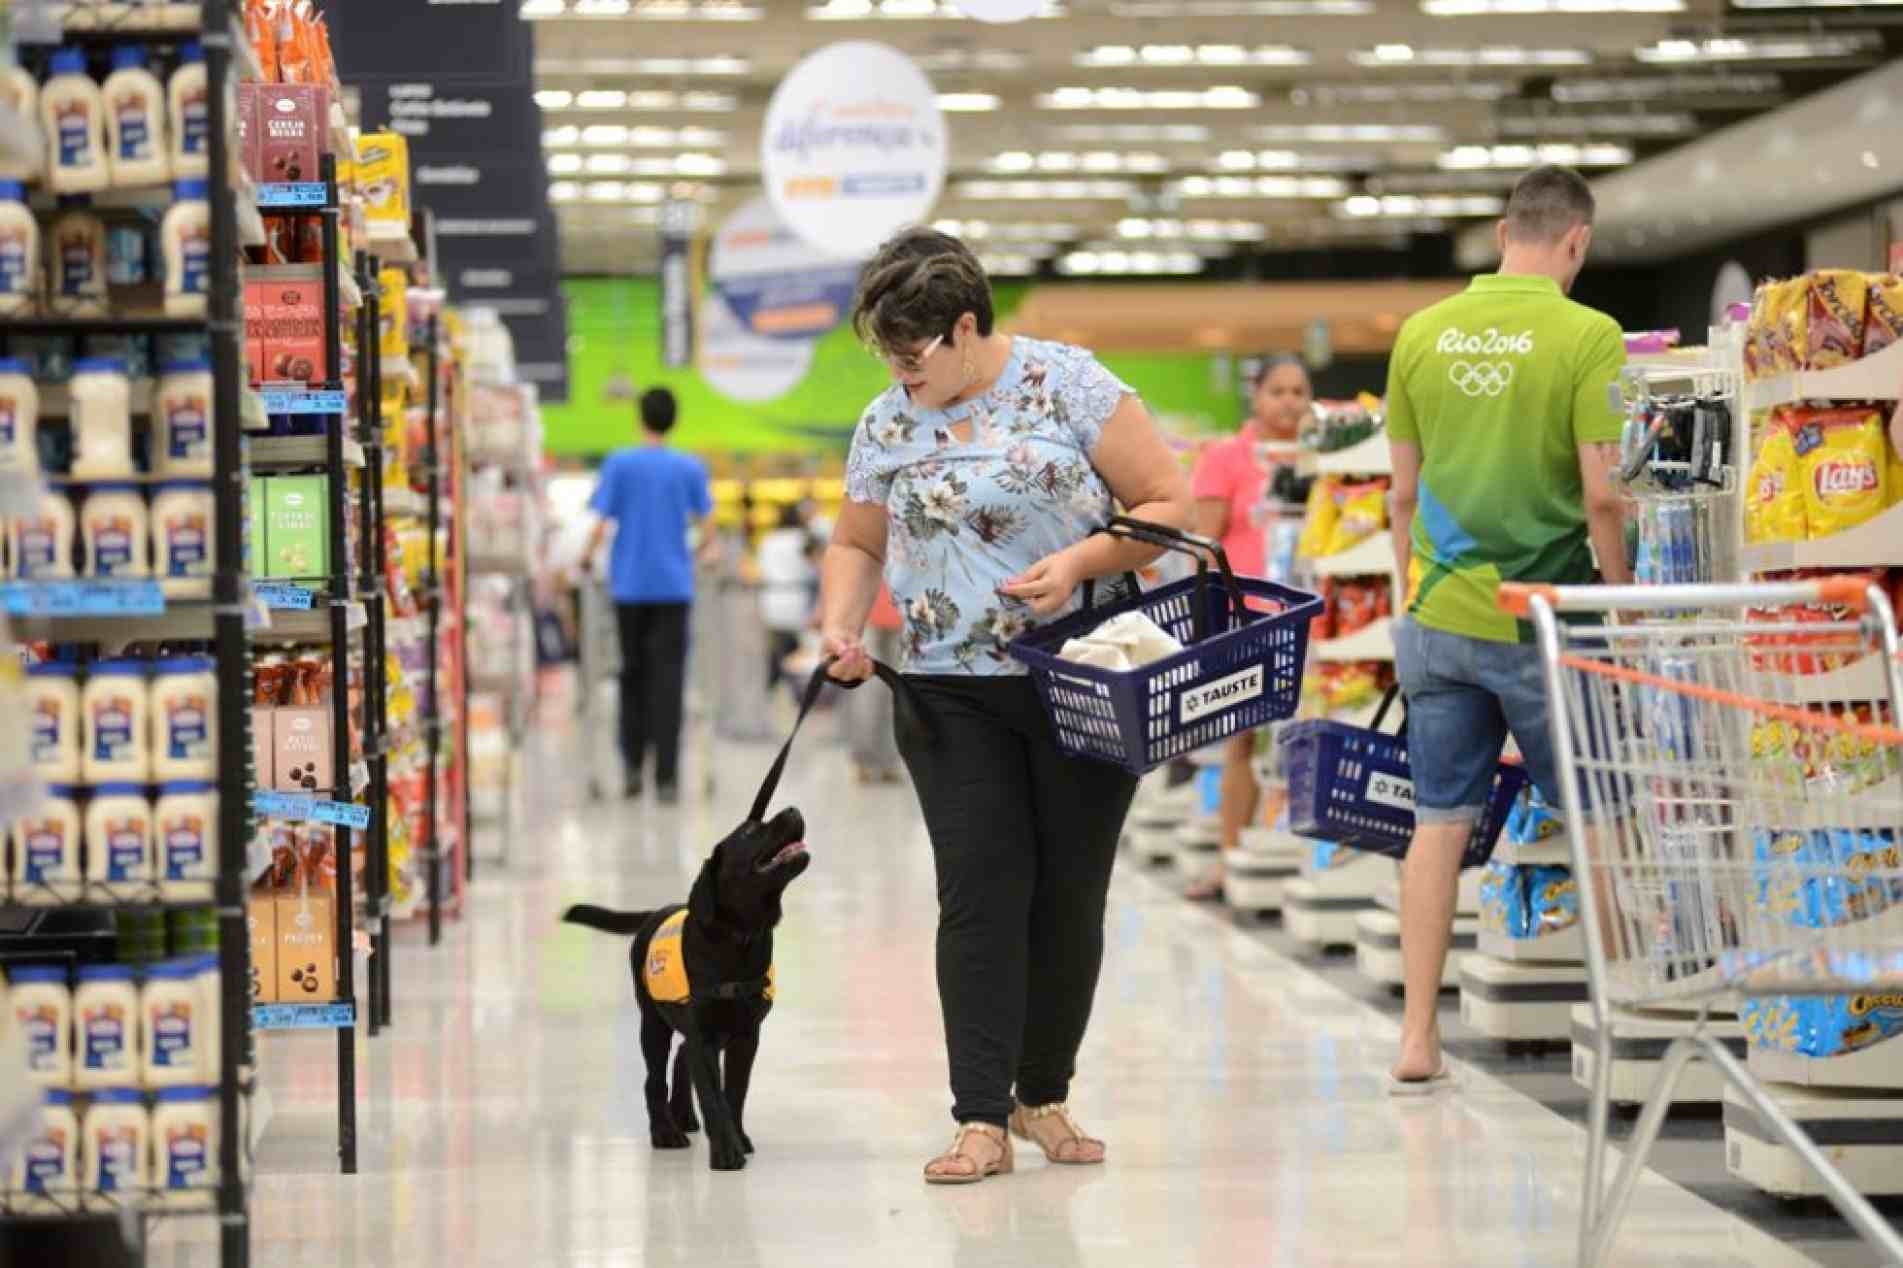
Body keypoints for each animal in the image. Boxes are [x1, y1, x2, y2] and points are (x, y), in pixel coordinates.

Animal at [559, 803, 806, 1172]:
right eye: (749, 832)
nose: (792, 808)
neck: (739, 938)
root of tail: (655, 912)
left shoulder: (745, 1037)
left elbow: (734, 1094)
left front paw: (738, 1138)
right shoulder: (704, 1036)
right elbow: (714, 1098)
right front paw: (726, 1153)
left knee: (680, 1057)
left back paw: (683, 1114)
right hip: (652, 1023)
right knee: (654, 1078)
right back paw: (665, 1131)